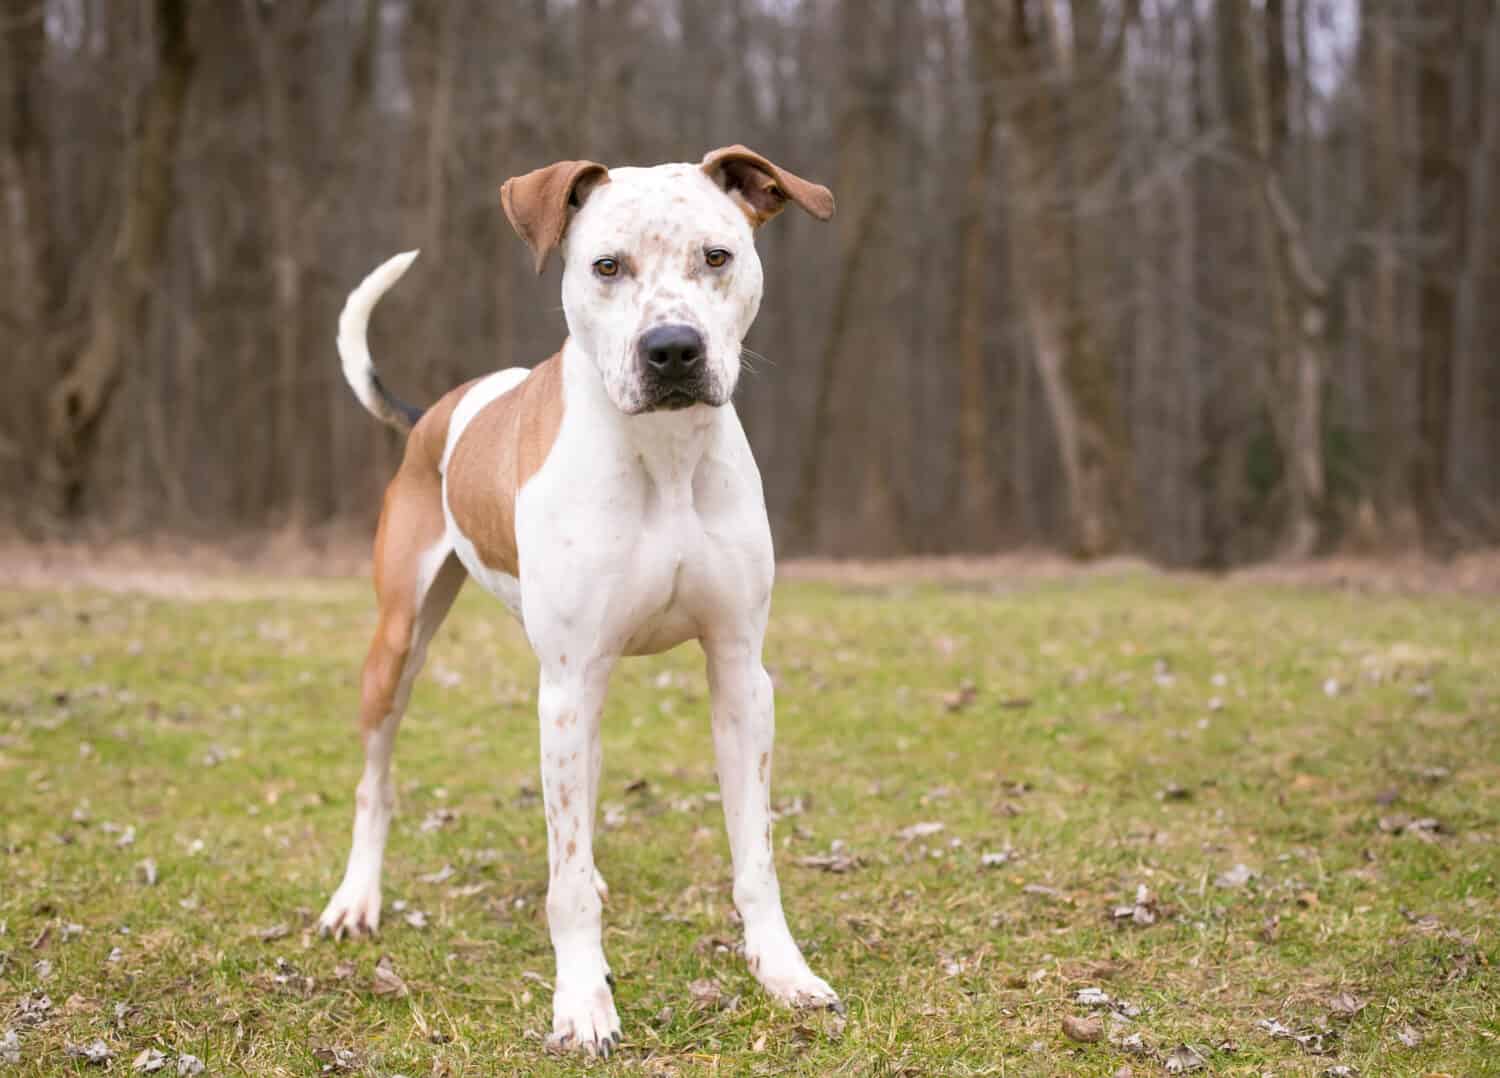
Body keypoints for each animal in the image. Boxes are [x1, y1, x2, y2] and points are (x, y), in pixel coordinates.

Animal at [321, 147, 840, 1055]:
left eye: (717, 257)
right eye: (606, 266)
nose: (672, 349)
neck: (664, 455)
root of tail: (430, 418)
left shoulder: (740, 673)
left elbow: (756, 852)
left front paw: (781, 972)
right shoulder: (563, 686)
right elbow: (560, 879)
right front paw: (582, 1001)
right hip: (400, 645)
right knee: (375, 781)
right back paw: (357, 899)